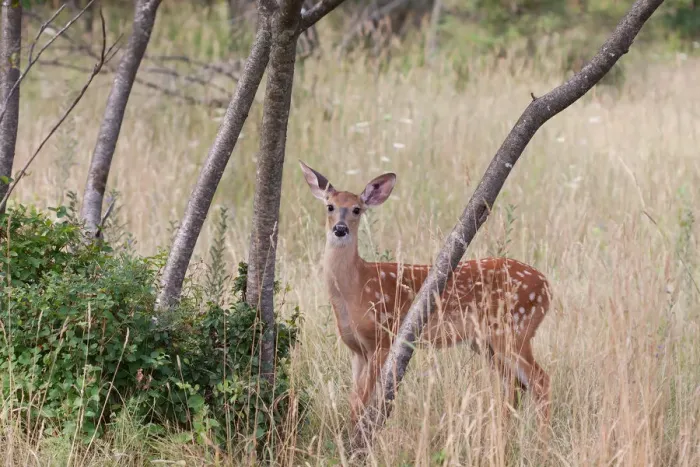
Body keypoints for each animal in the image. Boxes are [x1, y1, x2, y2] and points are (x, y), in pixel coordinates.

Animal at [299, 160, 552, 430]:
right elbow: (353, 401)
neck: (356, 287)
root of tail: (548, 287)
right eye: (330, 206)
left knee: (540, 381)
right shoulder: (357, 350)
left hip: (514, 329)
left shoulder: (383, 338)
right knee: (515, 385)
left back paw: (540, 438)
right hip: (486, 341)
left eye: (357, 209)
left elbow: (361, 401)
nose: (340, 229)